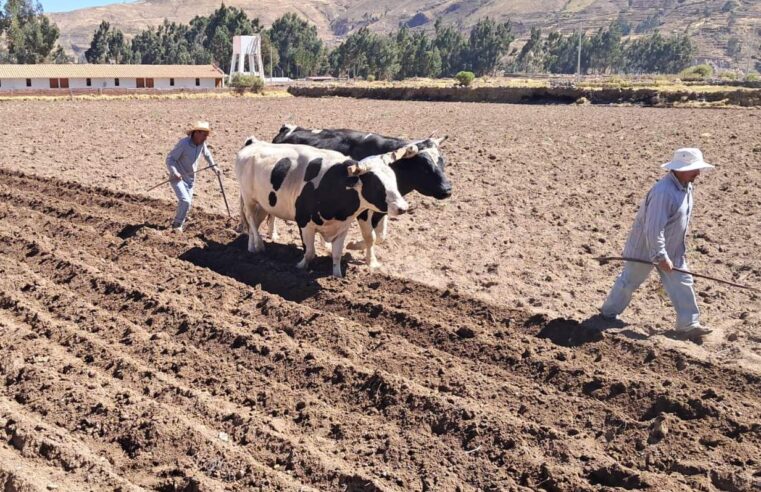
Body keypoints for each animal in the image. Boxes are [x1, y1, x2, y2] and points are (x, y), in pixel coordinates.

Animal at [235, 136, 418, 278]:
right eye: (377, 185)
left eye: (393, 179)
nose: (403, 207)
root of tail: (253, 143)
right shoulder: (304, 223)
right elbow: (310, 252)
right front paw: (300, 267)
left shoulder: (342, 227)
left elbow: (337, 255)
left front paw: (337, 276)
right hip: (249, 198)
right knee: (251, 220)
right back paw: (258, 246)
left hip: (263, 203)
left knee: (255, 222)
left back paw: (251, 245)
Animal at [272, 125, 452, 256]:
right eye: (423, 166)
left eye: (442, 160)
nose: (447, 189)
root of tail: (287, 129)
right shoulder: (363, 211)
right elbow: (371, 236)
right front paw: (355, 246)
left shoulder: (382, 210)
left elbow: (380, 236)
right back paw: (273, 235)